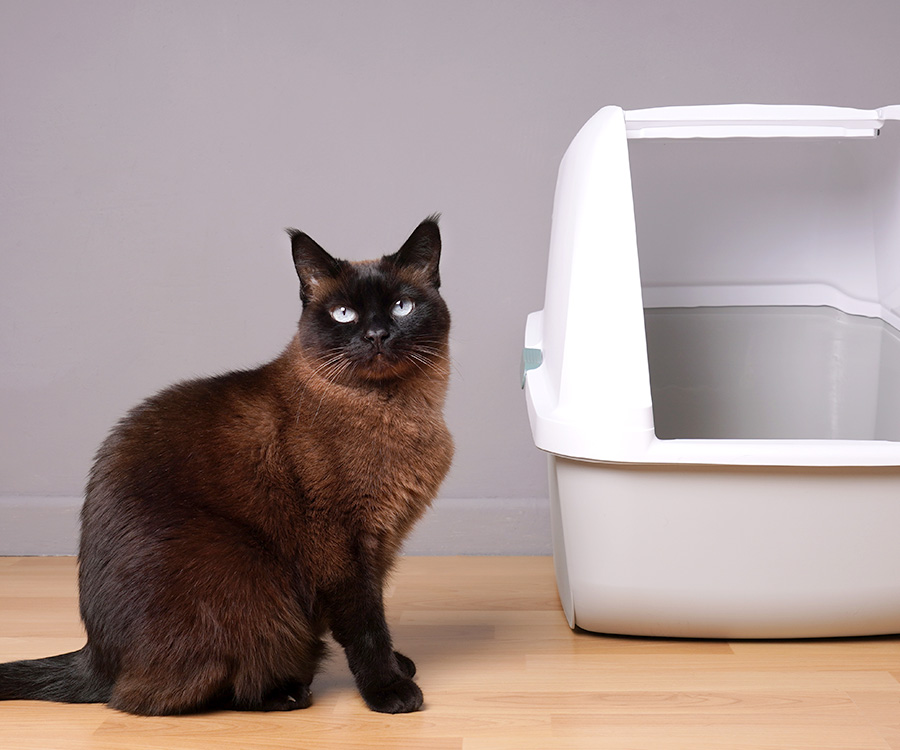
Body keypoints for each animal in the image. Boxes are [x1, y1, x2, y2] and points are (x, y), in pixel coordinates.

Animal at [0, 216, 450, 716]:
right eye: (344, 314)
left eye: (402, 307)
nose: (376, 336)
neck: (395, 410)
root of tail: (96, 657)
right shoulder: (345, 546)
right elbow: (365, 625)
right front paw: (390, 690)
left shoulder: (383, 541)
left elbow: (375, 615)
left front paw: (398, 665)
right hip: (248, 574)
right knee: (166, 695)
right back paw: (286, 690)